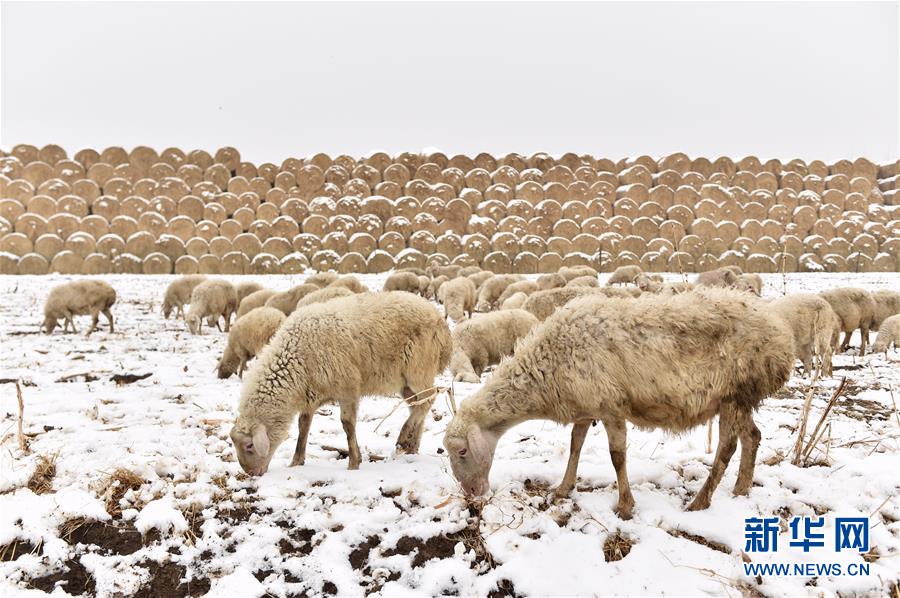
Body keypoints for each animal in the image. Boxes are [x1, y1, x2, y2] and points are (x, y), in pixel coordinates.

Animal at [225, 292, 450, 476]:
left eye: (249, 445)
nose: (251, 473)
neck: (297, 359)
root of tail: (440, 320)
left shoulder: (348, 387)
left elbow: (347, 425)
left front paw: (354, 462)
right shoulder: (310, 395)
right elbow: (303, 427)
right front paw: (297, 461)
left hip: (419, 368)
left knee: (428, 400)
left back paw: (404, 436)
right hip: (405, 381)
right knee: (417, 405)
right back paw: (412, 446)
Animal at [444, 288, 796, 516]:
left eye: (461, 451)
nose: (472, 495)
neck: (546, 367)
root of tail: (782, 336)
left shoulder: (610, 406)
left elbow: (617, 457)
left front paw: (625, 506)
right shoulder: (584, 407)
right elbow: (575, 445)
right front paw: (563, 488)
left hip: (736, 391)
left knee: (726, 448)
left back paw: (700, 501)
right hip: (738, 399)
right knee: (752, 436)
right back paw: (741, 488)